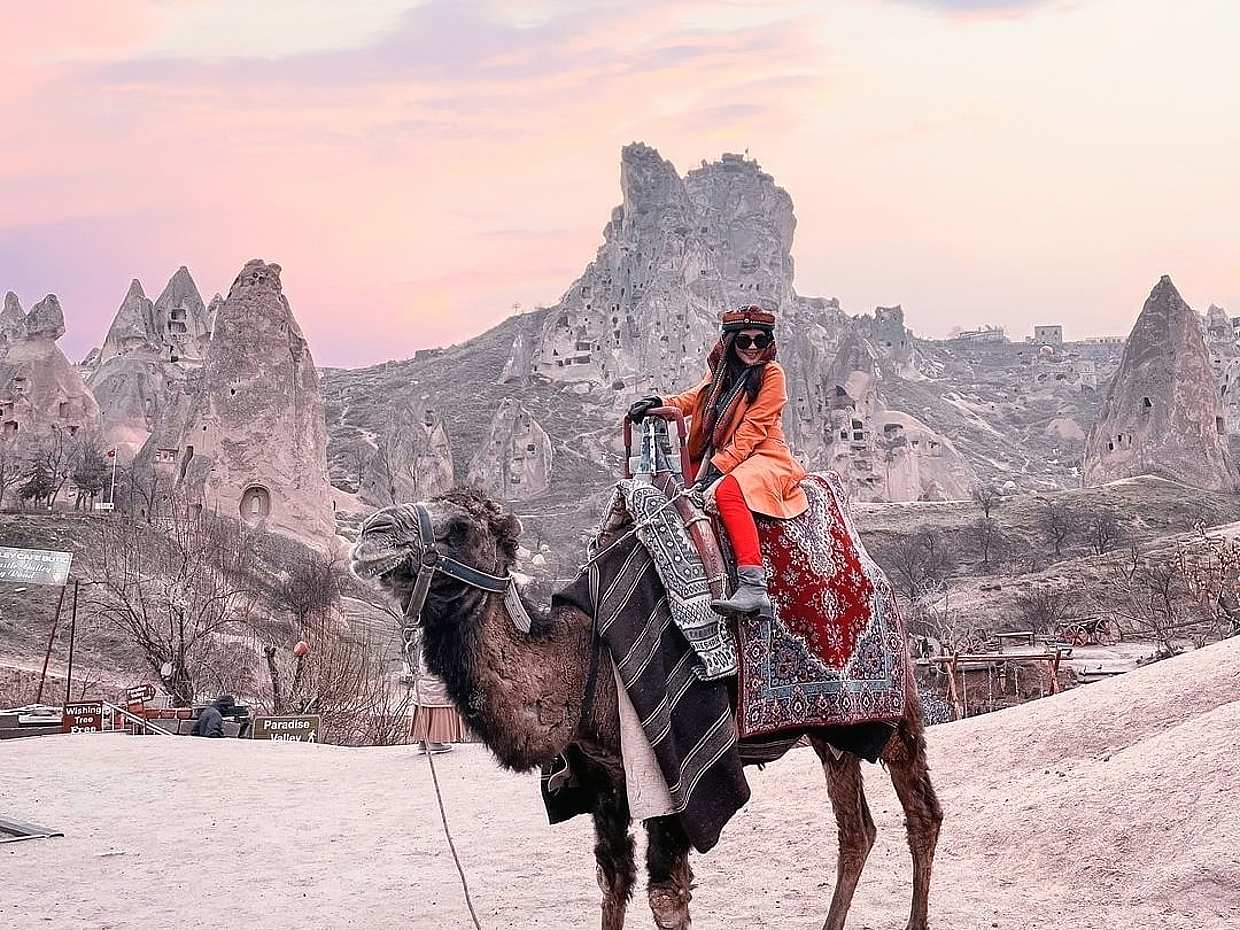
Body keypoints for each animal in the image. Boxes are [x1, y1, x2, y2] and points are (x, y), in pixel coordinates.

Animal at [351, 487, 942, 930]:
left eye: (460, 526)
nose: (370, 535)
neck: (583, 665)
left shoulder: (669, 774)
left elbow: (666, 901)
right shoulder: (604, 780)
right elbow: (612, 885)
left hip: (897, 708)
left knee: (921, 813)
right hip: (832, 731)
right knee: (856, 831)